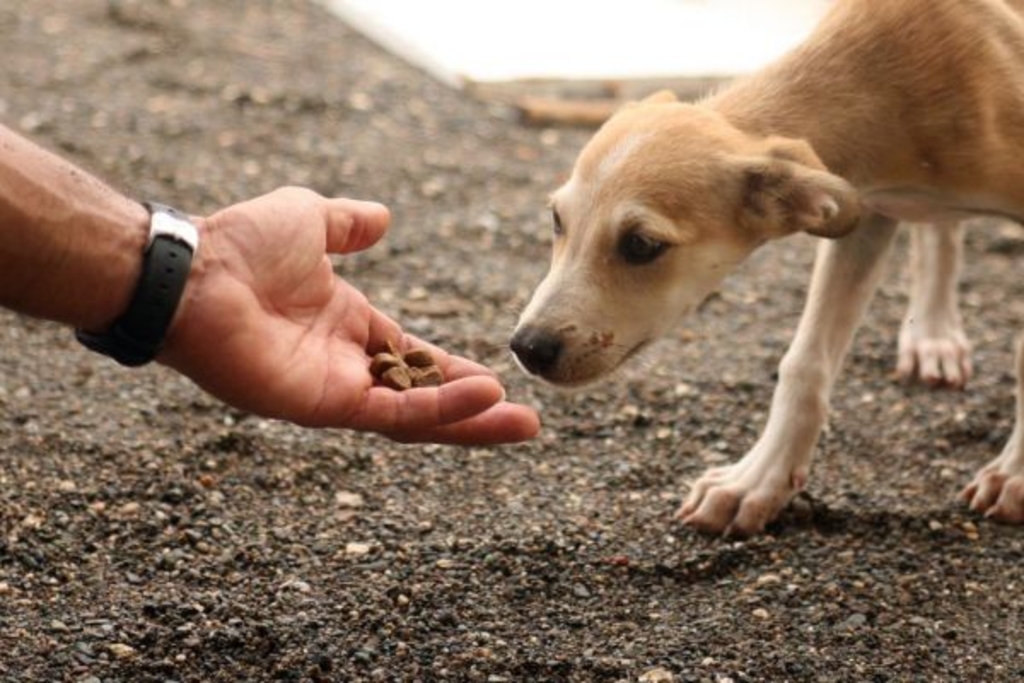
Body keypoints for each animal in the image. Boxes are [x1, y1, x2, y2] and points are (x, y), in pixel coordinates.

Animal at [512, 0, 1024, 532]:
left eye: (642, 244)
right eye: (557, 219)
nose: (527, 348)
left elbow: (1023, 355)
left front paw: (1014, 476)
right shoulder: (862, 213)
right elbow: (804, 364)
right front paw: (757, 482)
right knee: (939, 231)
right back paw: (932, 335)